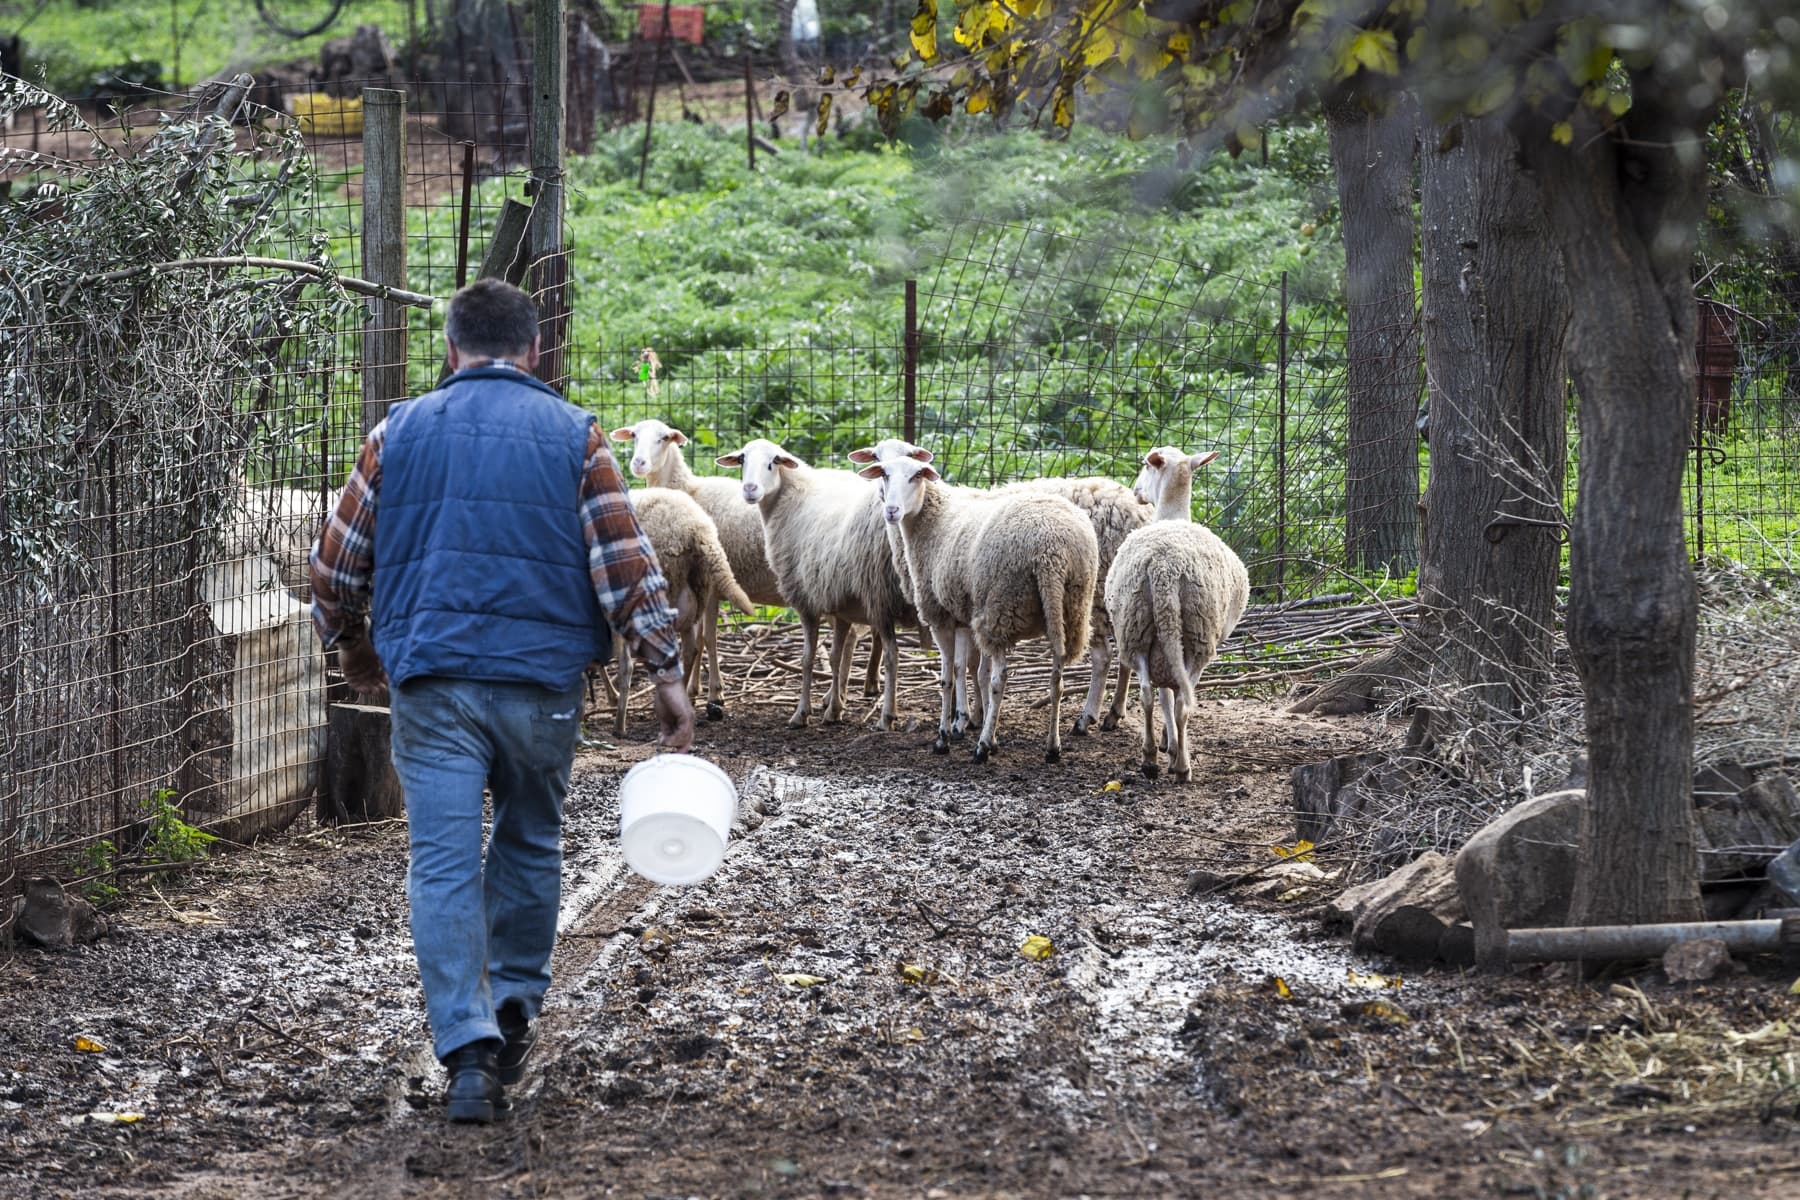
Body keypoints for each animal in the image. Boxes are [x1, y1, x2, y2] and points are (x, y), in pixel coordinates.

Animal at [716, 437, 914, 726]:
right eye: (742, 459)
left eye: (773, 461)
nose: (750, 489)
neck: (790, 498)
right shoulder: (840, 603)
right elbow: (834, 656)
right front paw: (834, 706)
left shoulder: (804, 600)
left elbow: (807, 658)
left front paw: (802, 712)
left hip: (881, 594)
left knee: (893, 655)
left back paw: (888, 713)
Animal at [856, 455, 1094, 766]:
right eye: (883, 473)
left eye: (916, 476)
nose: (892, 511)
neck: (934, 520)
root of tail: (1052, 551)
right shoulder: (963, 617)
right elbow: (967, 669)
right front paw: (970, 725)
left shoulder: (940, 617)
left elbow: (947, 678)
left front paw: (944, 737)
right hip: (1069, 611)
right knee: (1057, 680)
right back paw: (1052, 748)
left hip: (1002, 609)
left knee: (999, 680)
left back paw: (982, 748)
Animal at [1101, 446, 1245, 784]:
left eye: (1144, 466)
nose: (1136, 491)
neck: (1173, 515)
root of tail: (1163, 568)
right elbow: (1172, 697)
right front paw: (1174, 745)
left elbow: (1163, 695)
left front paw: (1167, 744)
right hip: (1193, 636)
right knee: (1182, 703)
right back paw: (1181, 766)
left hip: (1139, 628)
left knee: (1146, 695)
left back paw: (1151, 758)